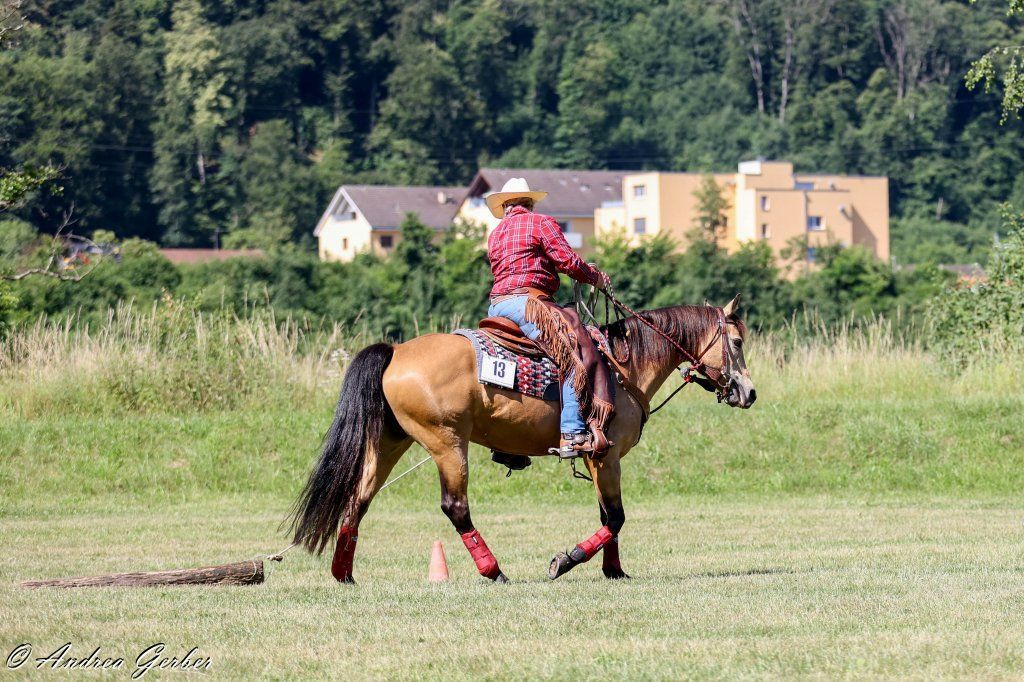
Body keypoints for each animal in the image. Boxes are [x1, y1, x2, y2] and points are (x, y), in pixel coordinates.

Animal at [289, 294, 756, 583]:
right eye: (736, 341)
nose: (748, 392)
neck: (623, 366)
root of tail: (396, 351)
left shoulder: (598, 460)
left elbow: (608, 516)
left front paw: (614, 571)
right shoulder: (606, 457)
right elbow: (616, 517)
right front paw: (567, 560)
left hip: (390, 442)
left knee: (359, 498)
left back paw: (343, 573)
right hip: (447, 443)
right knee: (455, 507)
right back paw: (493, 570)